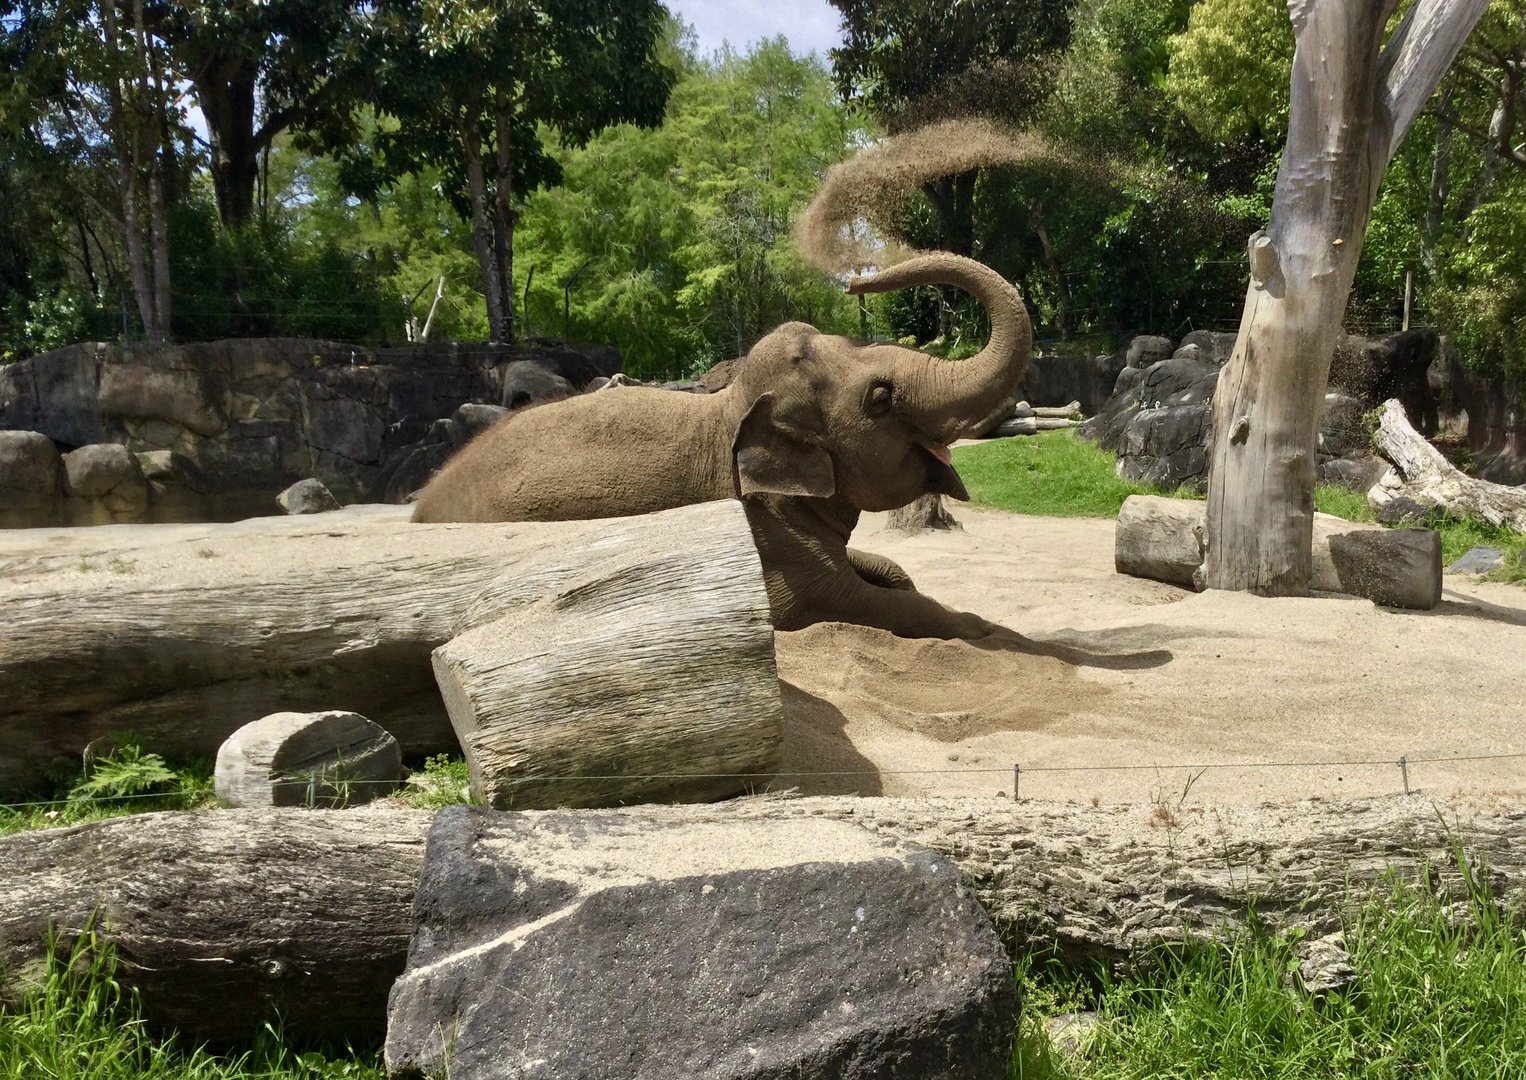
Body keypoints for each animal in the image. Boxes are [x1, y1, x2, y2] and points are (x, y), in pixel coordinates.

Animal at [412, 251, 1031, 639]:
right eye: (880, 398)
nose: (855, 282)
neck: (727, 411)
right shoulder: (767, 535)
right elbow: (851, 600)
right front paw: (982, 629)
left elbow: (885, 569)